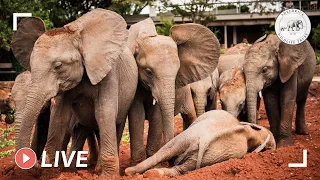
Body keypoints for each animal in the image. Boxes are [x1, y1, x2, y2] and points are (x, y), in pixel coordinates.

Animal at [10, 8, 138, 176]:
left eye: (58, 66)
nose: (36, 163)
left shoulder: (108, 72)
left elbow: (104, 113)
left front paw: (108, 177)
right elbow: (59, 117)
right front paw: (51, 174)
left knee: (116, 124)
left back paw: (98, 169)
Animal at [126, 18, 221, 165]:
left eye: (177, 72)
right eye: (148, 72)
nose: (172, 161)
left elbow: (157, 116)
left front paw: (155, 164)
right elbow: (137, 115)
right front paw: (138, 164)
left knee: (190, 115)